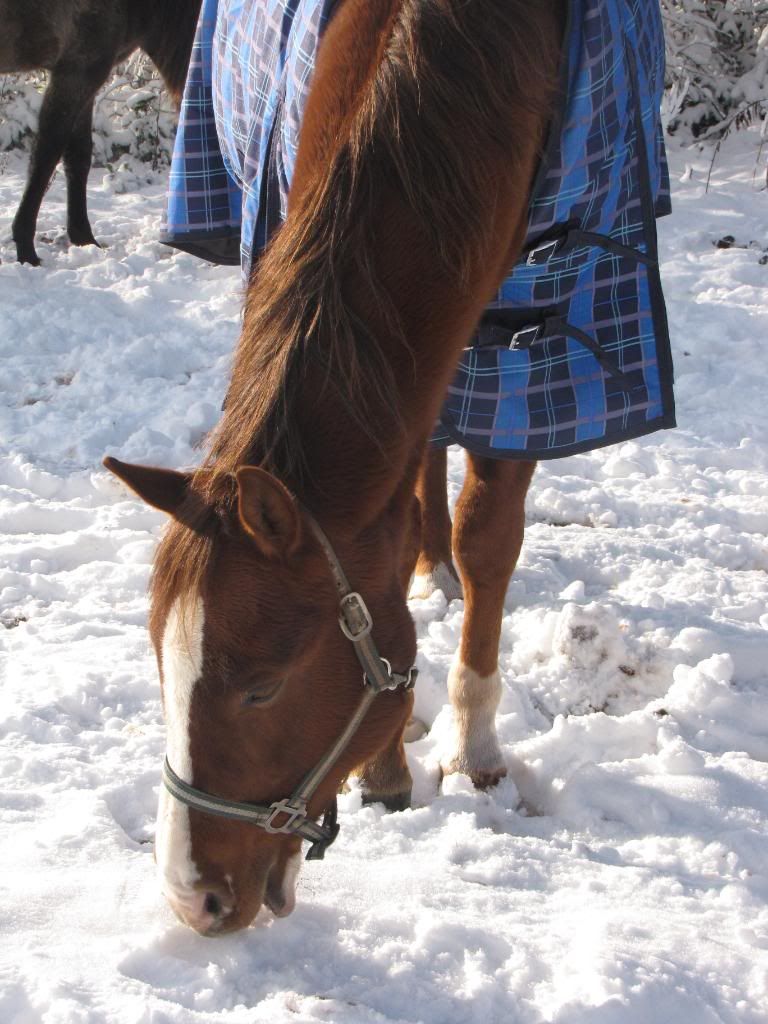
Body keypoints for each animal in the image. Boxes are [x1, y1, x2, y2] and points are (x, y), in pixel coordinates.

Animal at [1, 1, 199, 264]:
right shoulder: (75, 71)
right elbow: (45, 159)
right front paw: (26, 251)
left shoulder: (87, 78)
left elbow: (78, 157)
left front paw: (83, 239)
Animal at [103, 0, 671, 933]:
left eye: (261, 688)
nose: (193, 900)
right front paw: (387, 766)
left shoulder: (531, 350)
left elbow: (488, 542)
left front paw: (474, 743)